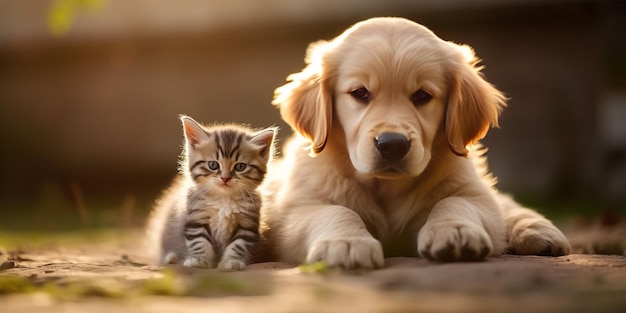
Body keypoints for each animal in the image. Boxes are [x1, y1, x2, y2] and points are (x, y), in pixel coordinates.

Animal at [147, 115, 274, 270]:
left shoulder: (247, 224)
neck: (224, 199)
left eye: (240, 167)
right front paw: (200, 260)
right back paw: (172, 258)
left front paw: (231, 262)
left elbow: (238, 245)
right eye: (213, 165)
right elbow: (199, 241)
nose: (225, 178)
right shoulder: (197, 217)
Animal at [260, 15, 568, 266]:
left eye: (422, 96)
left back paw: (537, 230)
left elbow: (457, 201)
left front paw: (455, 229)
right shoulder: (295, 210)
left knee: (505, 204)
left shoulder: (472, 193)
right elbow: (336, 211)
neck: (385, 187)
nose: (392, 145)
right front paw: (346, 242)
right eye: (360, 93)